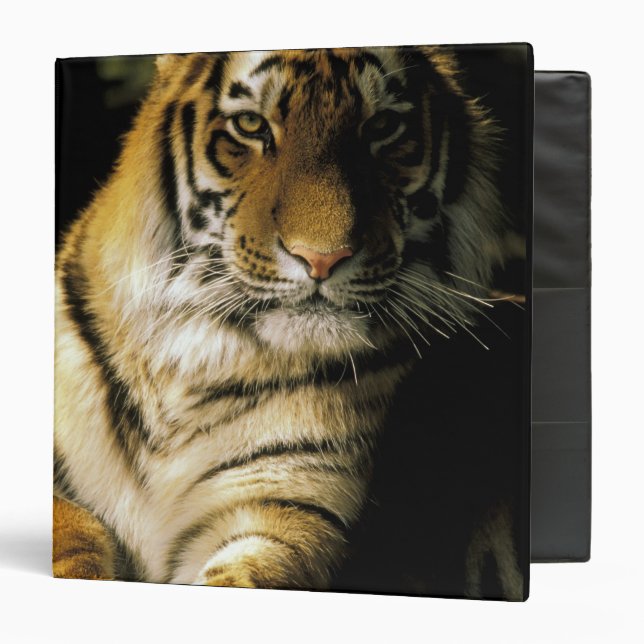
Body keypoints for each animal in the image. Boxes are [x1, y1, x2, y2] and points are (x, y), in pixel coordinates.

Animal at [54, 46, 508, 591]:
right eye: (251, 125)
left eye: (381, 127)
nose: (322, 258)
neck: (188, 361)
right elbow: (70, 529)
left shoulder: (285, 507)